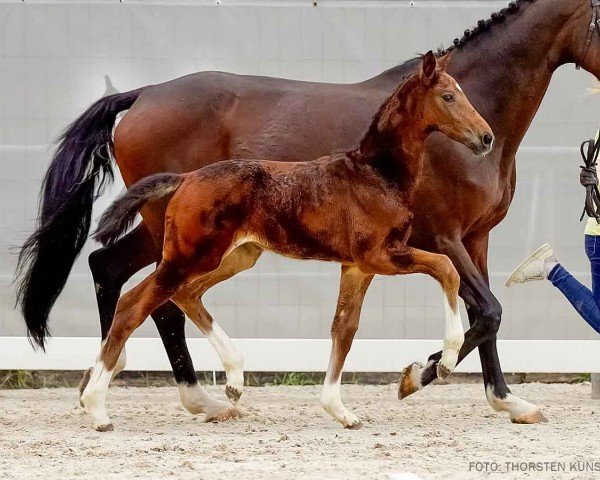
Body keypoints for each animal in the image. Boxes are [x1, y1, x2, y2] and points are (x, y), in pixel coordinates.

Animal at [81, 53, 492, 432]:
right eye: (448, 96)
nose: (486, 137)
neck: (377, 174)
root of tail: (185, 179)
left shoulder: (357, 267)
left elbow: (344, 328)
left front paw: (339, 411)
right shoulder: (380, 256)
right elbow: (447, 269)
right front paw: (444, 362)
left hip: (235, 256)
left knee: (184, 295)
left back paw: (233, 380)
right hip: (188, 257)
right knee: (135, 304)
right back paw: (97, 407)